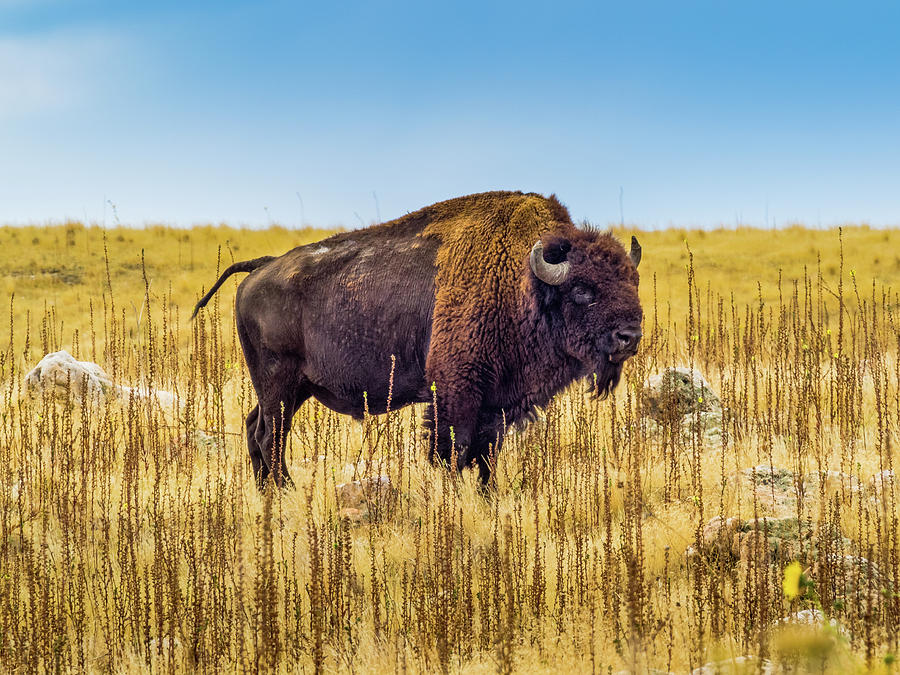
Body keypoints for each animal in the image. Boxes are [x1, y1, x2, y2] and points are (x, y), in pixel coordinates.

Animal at [193, 190, 644, 486]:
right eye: (582, 290)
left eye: (631, 280)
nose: (630, 335)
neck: (524, 281)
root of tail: (261, 267)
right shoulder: (456, 393)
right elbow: (451, 451)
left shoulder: (497, 402)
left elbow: (487, 456)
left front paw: (488, 498)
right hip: (279, 385)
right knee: (270, 434)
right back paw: (283, 489)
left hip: (293, 388)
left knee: (257, 427)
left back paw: (272, 492)